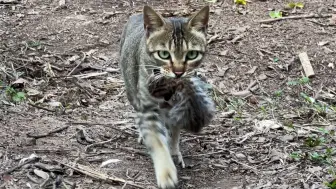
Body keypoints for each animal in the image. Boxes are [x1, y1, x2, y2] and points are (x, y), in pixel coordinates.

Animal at [119, 5, 214, 188]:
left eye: (192, 54)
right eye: (163, 54)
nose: (178, 72)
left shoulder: (178, 108)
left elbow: (174, 132)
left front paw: (174, 151)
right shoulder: (147, 108)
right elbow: (156, 141)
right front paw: (166, 172)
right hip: (132, 91)